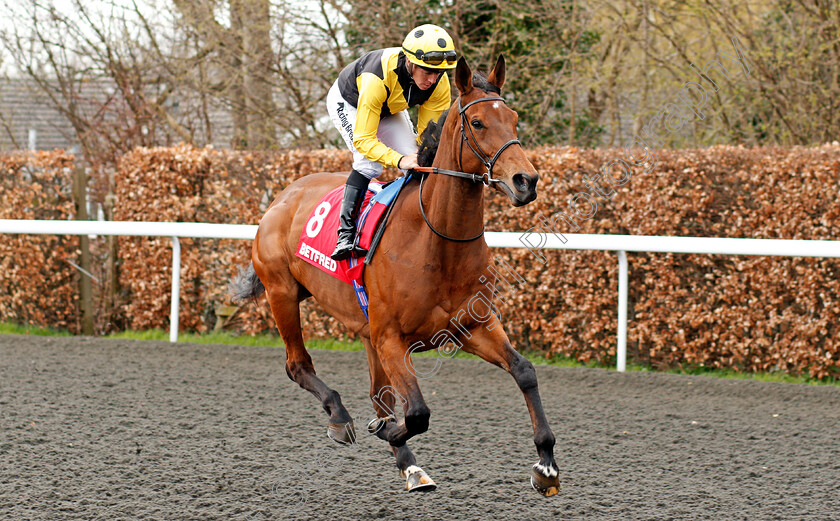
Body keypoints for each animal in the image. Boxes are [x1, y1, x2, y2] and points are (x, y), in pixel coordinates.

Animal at [231, 57, 556, 496]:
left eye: (514, 118)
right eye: (477, 123)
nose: (526, 181)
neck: (437, 242)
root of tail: (281, 198)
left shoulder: (472, 326)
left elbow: (524, 371)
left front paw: (546, 464)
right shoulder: (392, 339)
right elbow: (417, 412)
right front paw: (385, 431)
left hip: (363, 327)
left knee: (377, 394)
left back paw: (409, 464)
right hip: (281, 293)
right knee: (298, 365)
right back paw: (341, 418)